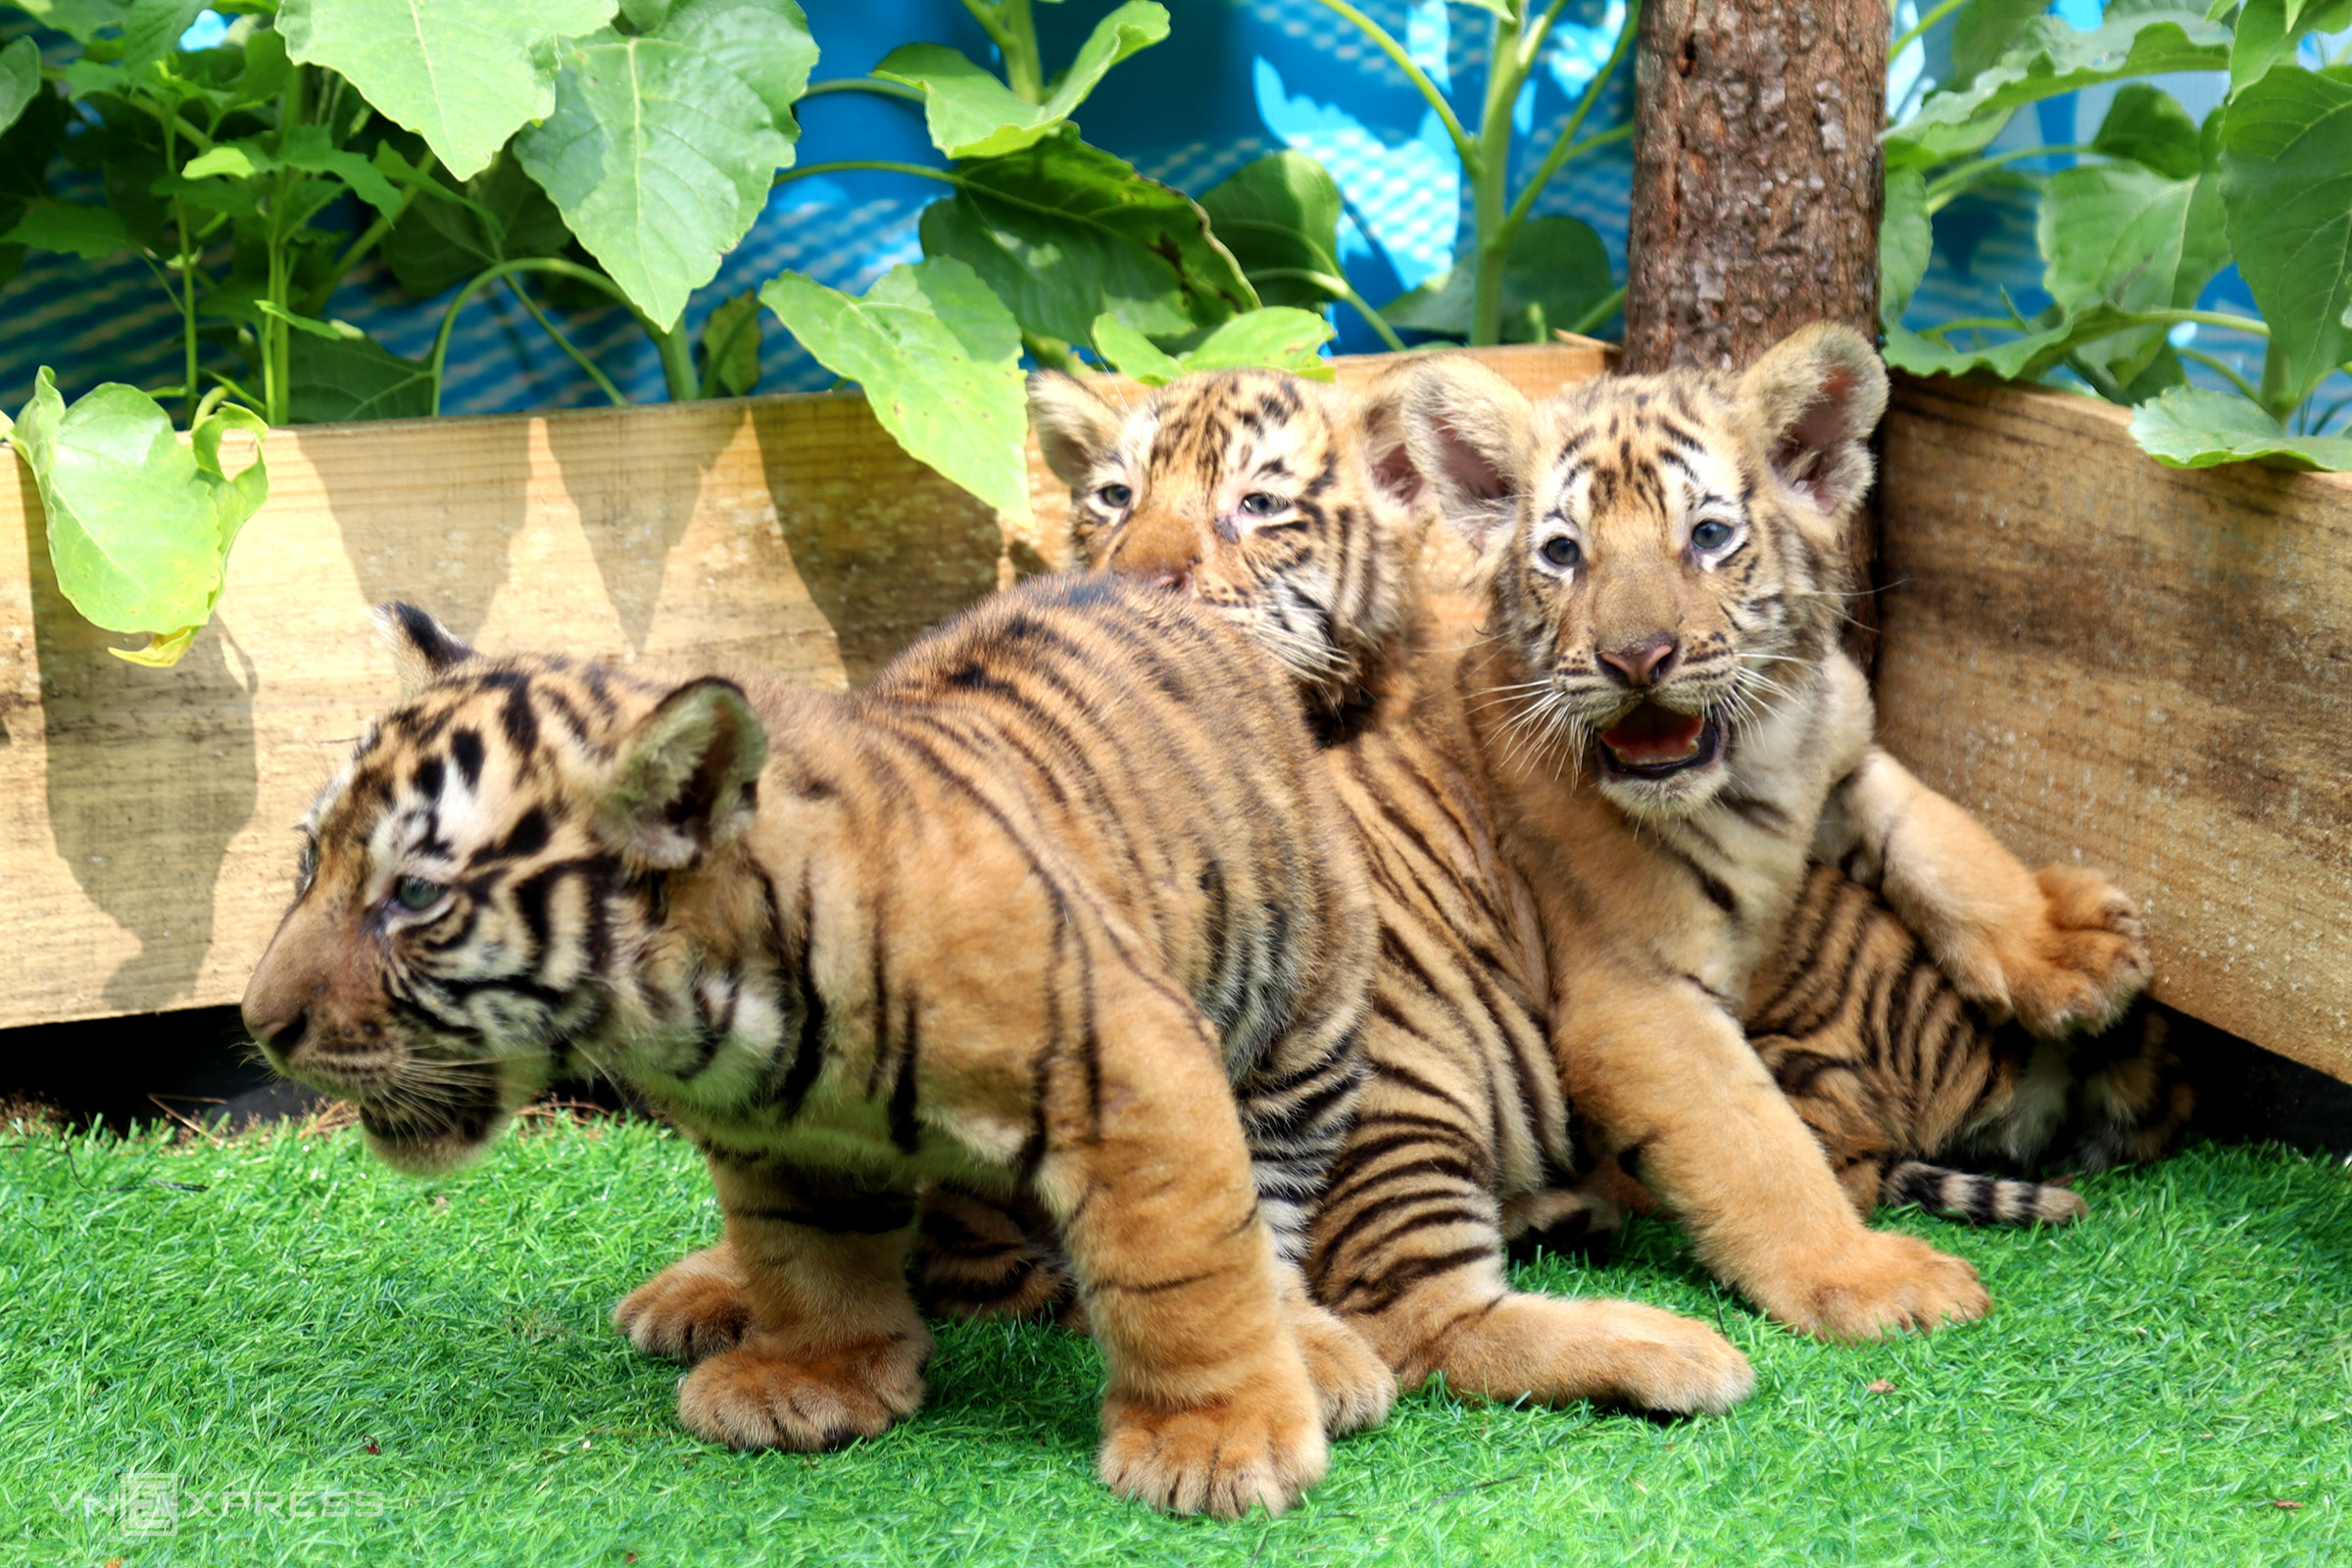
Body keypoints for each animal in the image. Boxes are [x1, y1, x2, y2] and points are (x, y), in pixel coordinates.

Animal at [241, 575, 1401, 1519]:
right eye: (308, 865)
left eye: (414, 896)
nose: (259, 1022)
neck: (723, 1013)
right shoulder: (779, 1139)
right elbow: (806, 1254)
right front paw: (812, 1379)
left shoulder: (1130, 1068)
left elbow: (1184, 1276)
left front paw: (1214, 1443)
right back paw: (704, 1292)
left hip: (1304, 1015)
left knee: (1272, 1216)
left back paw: (1317, 1350)